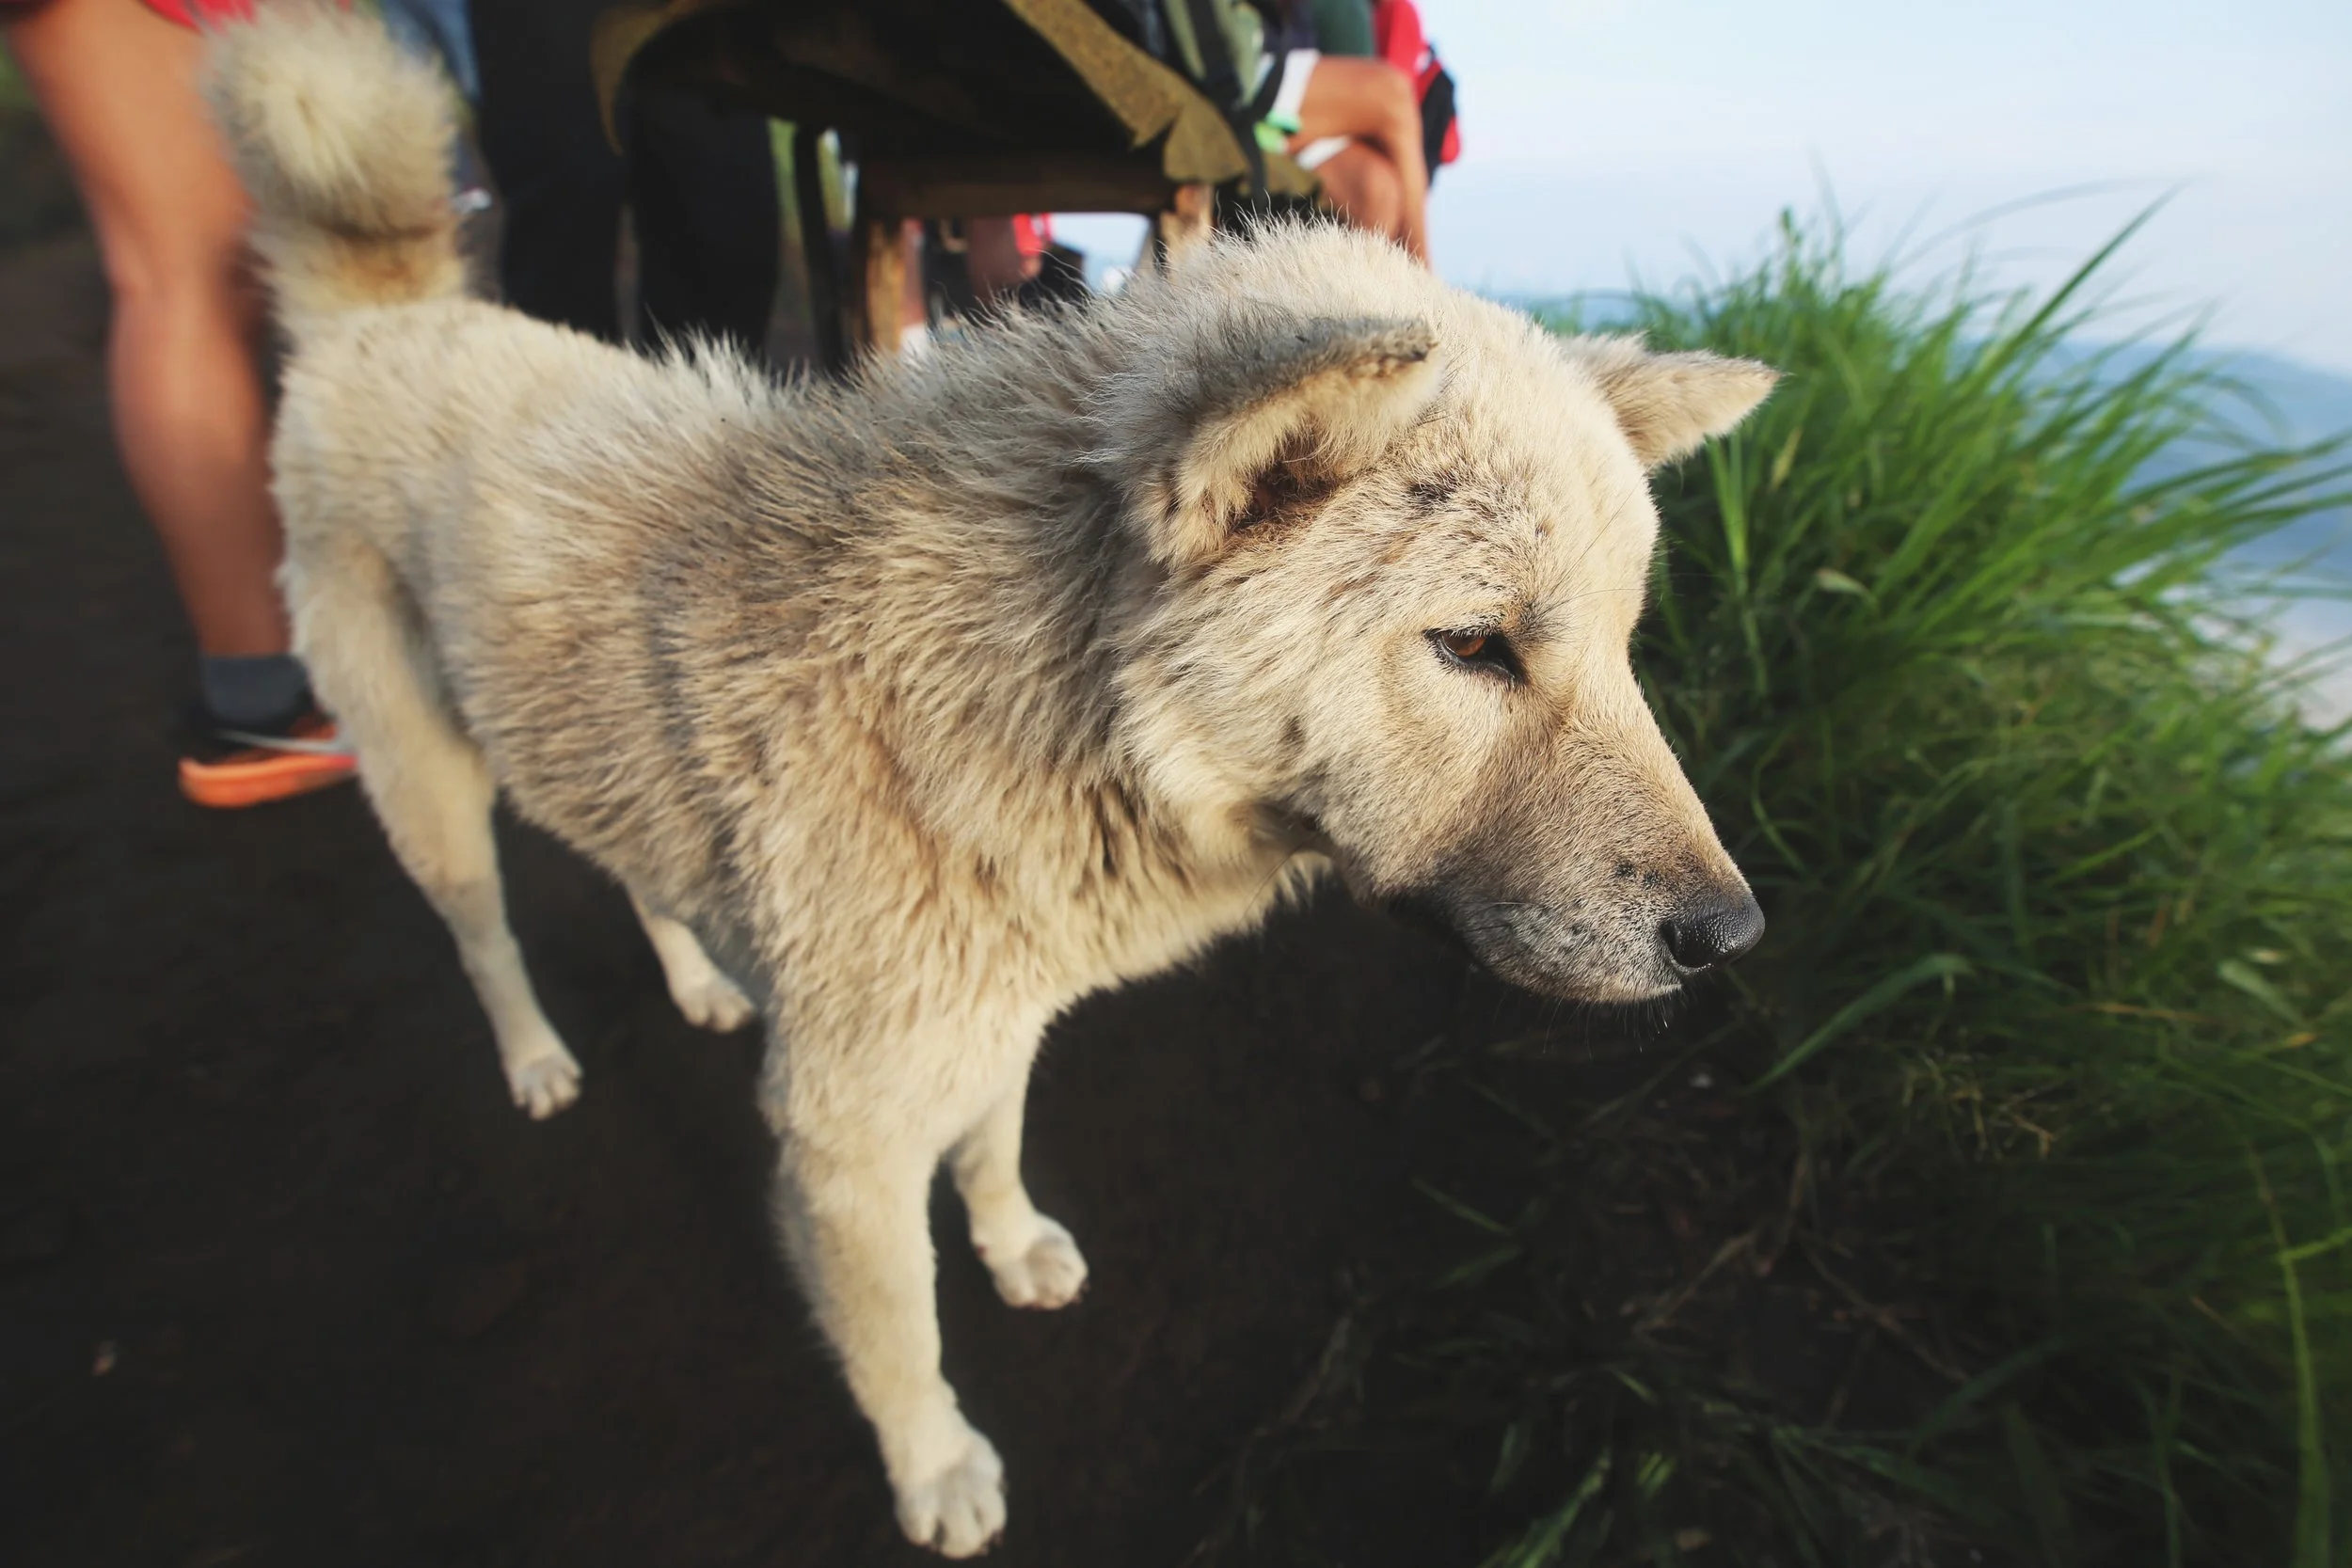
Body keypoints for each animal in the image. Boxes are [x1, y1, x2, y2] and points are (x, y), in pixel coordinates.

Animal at [206, 7, 1774, 1554]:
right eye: (1474, 645)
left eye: (1624, 642)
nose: (1734, 936)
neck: (1003, 689)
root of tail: (384, 313)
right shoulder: (840, 1138)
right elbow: (899, 1330)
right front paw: (935, 1466)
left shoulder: (999, 1005)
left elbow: (996, 1137)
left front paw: (1013, 1240)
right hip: (430, 791)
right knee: (482, 931)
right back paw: (535, 1057)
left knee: (628, 874)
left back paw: (698, 979)